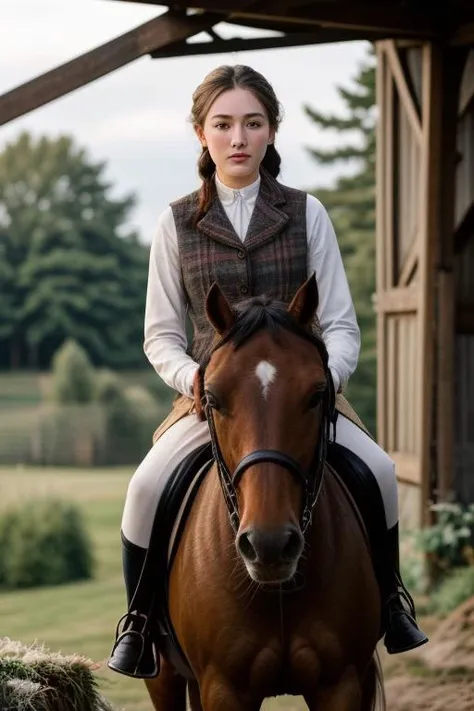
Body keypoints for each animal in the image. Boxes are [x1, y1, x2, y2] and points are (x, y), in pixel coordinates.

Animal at [144, 276, 386, 708]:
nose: (269, 545)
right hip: (164, 676)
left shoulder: (340, 683)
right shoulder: (224, 688)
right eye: (211, 398)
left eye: (317, 394)